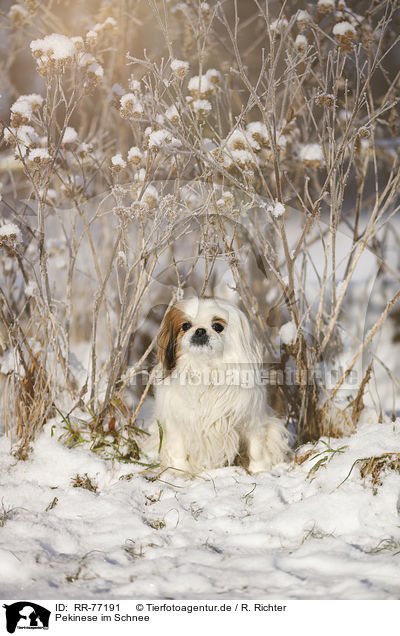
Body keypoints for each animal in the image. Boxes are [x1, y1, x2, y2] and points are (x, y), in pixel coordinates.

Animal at [148, 296, 290, 472]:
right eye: (185, 326)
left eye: (217, 326)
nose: (200, 330)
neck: (206, 370)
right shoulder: (175, 423)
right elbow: (178, 451)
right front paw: (180, 472)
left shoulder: (251, 420)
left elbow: (257, 449)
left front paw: (259, 471)